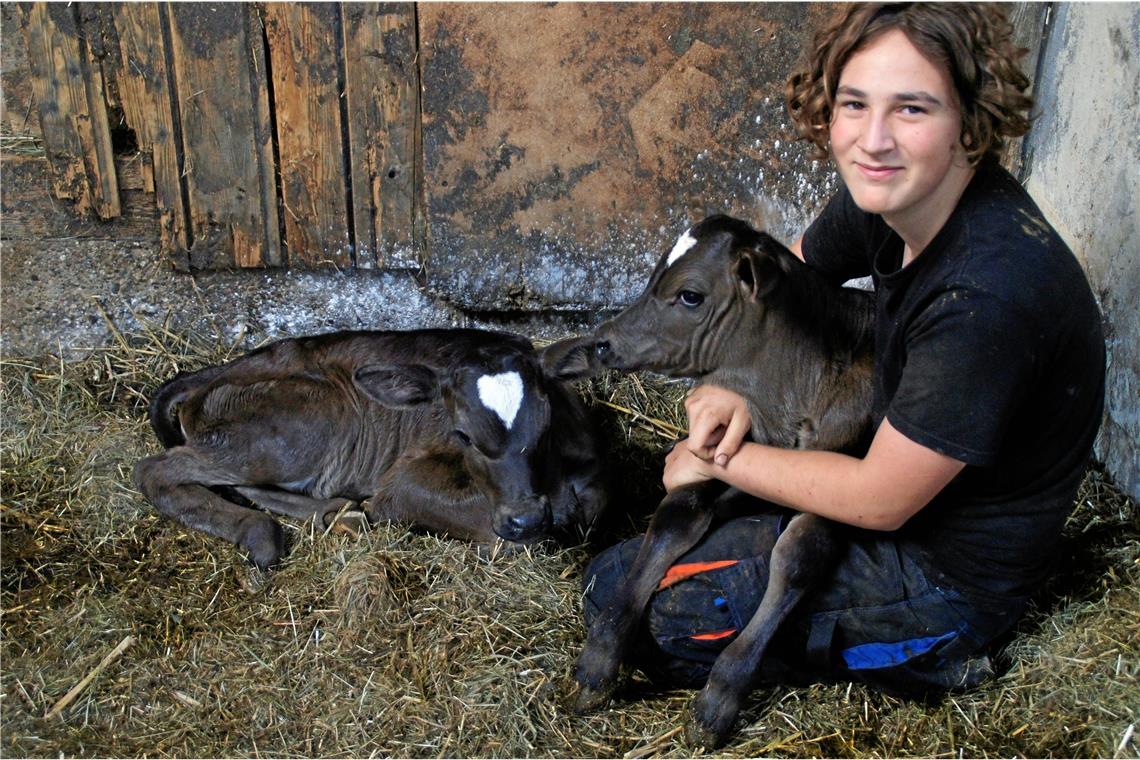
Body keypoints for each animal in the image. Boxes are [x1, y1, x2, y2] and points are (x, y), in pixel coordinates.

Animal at [133, 328, 606, 569]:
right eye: (463, 435)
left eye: (546, 427)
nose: (525, 519)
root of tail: (216, 370)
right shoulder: (400, 486)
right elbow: (505, 539)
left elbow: (592, 502)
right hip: (305, 425)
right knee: (157, 470)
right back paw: (260, 533)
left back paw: (337, 514)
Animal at [556, 215, 875, 747]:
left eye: (690, 295)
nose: (604, 341)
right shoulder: (729, 452)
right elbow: (675, 517)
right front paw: (599, 660)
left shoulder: (838, 486)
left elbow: (796, 556)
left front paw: (718, 700)